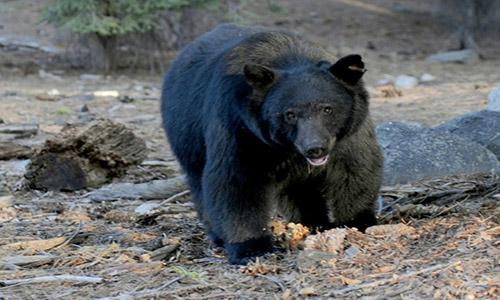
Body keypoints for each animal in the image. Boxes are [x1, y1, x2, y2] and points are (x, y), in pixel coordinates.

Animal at [161, 25, 382, 264]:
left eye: (327, 109)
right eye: (289, 114)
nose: (315, 148)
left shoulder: (349, 135)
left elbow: (356, 169)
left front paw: (357, 222)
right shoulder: (240, 128)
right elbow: (237, 181)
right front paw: (251, 248)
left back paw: (312, 222)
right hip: (187, 137)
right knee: (199, 183)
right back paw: (218, 235)